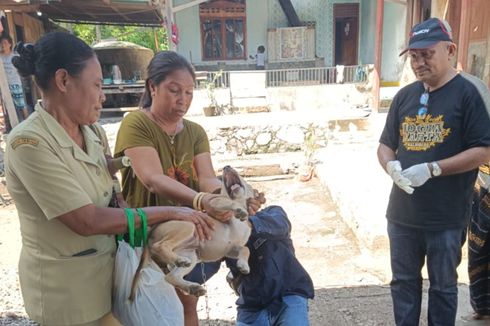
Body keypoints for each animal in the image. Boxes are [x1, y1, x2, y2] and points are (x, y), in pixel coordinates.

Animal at [128, 167, 255, 300]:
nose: (226, 167)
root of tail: (151, 231)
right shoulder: (215, 203)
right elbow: (229, 203)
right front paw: (240, 210)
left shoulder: (230, 249)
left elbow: (246, 249)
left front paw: (243, 265)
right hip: (189, 226)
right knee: (160, 245)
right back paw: (180, 262)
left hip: (191, 256)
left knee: (170, 276)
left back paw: (192, 286)